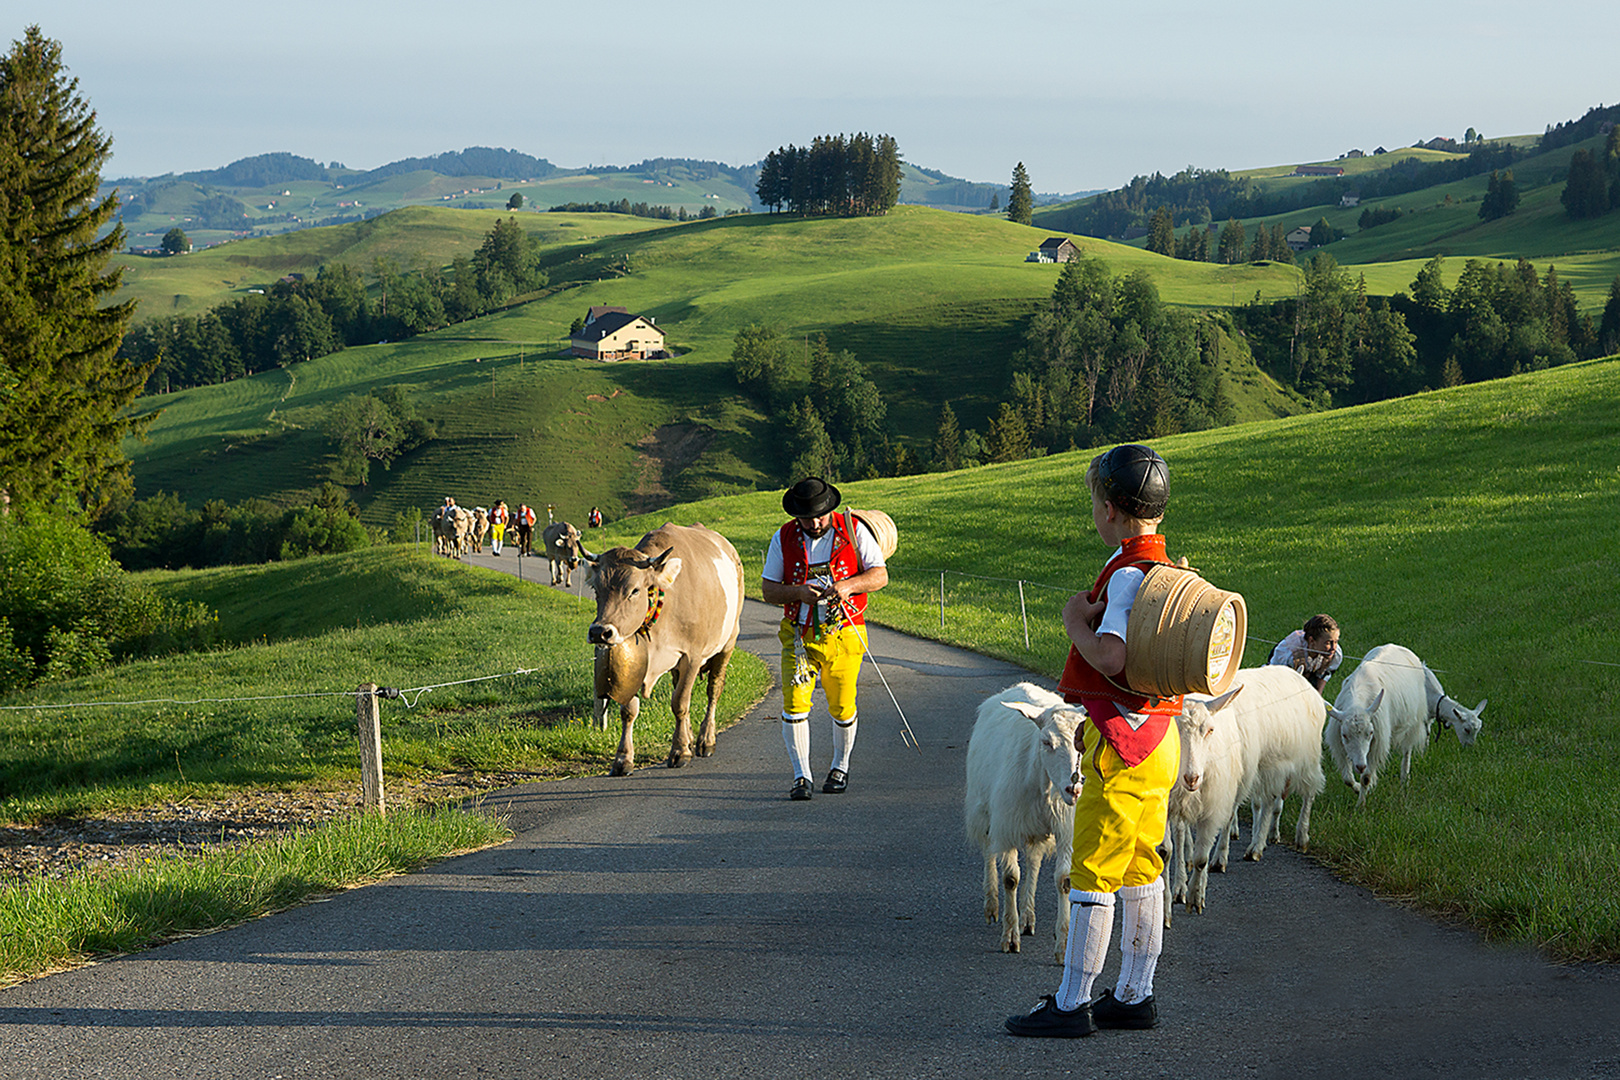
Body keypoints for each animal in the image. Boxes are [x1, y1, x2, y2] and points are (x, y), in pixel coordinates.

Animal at [583, 524, 745, 777]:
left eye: (634, 591)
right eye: (596, 590)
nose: (600, 632)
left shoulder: (692, 656)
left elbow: (680, 702)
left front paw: (680, 751)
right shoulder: (640, 662)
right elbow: (629, 710)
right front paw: (623, 758)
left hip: (728, 642)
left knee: (713, 690)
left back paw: (705, 740)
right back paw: (689, 736)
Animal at [965, 683, 1082, 965]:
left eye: (1081, 742)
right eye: (1047, 742)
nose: (1073, 788)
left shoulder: (1065, 829)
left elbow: (1064, 880)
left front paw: (1063, 946)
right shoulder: (1006, 824)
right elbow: (1010, 878)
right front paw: (1009, 937)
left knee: (1034, 860)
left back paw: (1028, 918)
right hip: (984, 809)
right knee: (988, 852)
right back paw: (992, 907)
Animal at [1328, 641, 1483, 803]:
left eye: (1370, 733)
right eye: (1344, 735)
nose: (1360, 766)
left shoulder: (1379, 741)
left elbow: (1366, 778)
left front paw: (1361, 804)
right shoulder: (1340, 742)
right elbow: (1347, 779)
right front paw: (1358, 789)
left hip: (1413, 721)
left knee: (1407, 751)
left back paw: (1404, 779)